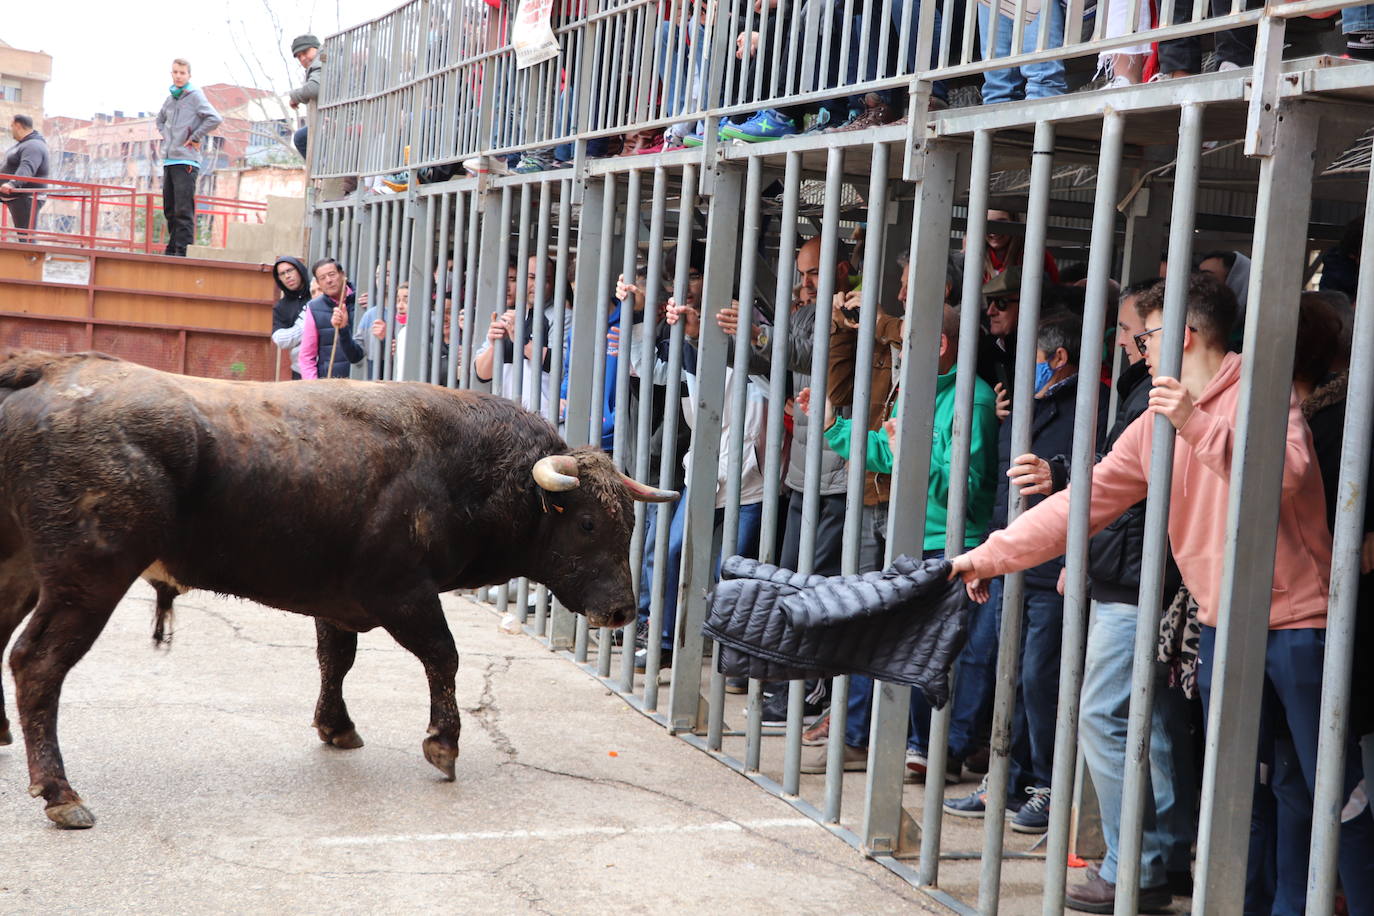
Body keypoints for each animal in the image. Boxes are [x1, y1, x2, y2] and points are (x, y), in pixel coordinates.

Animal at [0, 348, 670, 829]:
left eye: (630, 523)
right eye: (588, 523)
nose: (622, 610)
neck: (462, 467)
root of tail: (50, 368)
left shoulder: (340, 603)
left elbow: (335, 660)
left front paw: (336, 726)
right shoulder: (403, 594)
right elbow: (443, 656)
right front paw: (443, 743)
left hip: (23, 570)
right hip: (87, 581)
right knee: (37, 663)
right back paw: (60, 793)